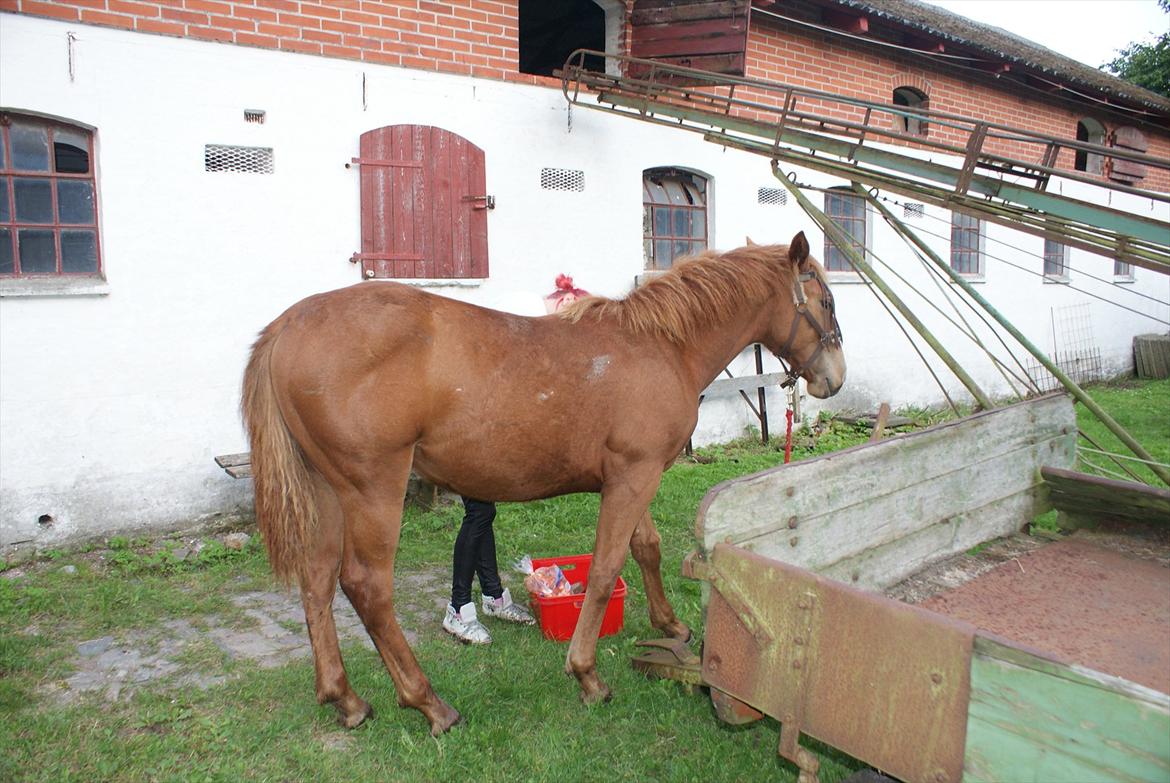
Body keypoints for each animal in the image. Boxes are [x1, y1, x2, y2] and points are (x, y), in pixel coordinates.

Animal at [242, 230, 847, 735]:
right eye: (826, 301)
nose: (834, 379)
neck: (661, 346)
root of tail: (286, 327)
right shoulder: (634, 476)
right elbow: (604, 570)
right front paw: (587, 675)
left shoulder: (632, 475)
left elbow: (646, 548)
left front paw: (672, 627)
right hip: (373, 489)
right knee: (367, 587)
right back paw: (429, 703)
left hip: (327, 492)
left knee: (317, 582)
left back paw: (345, 699)